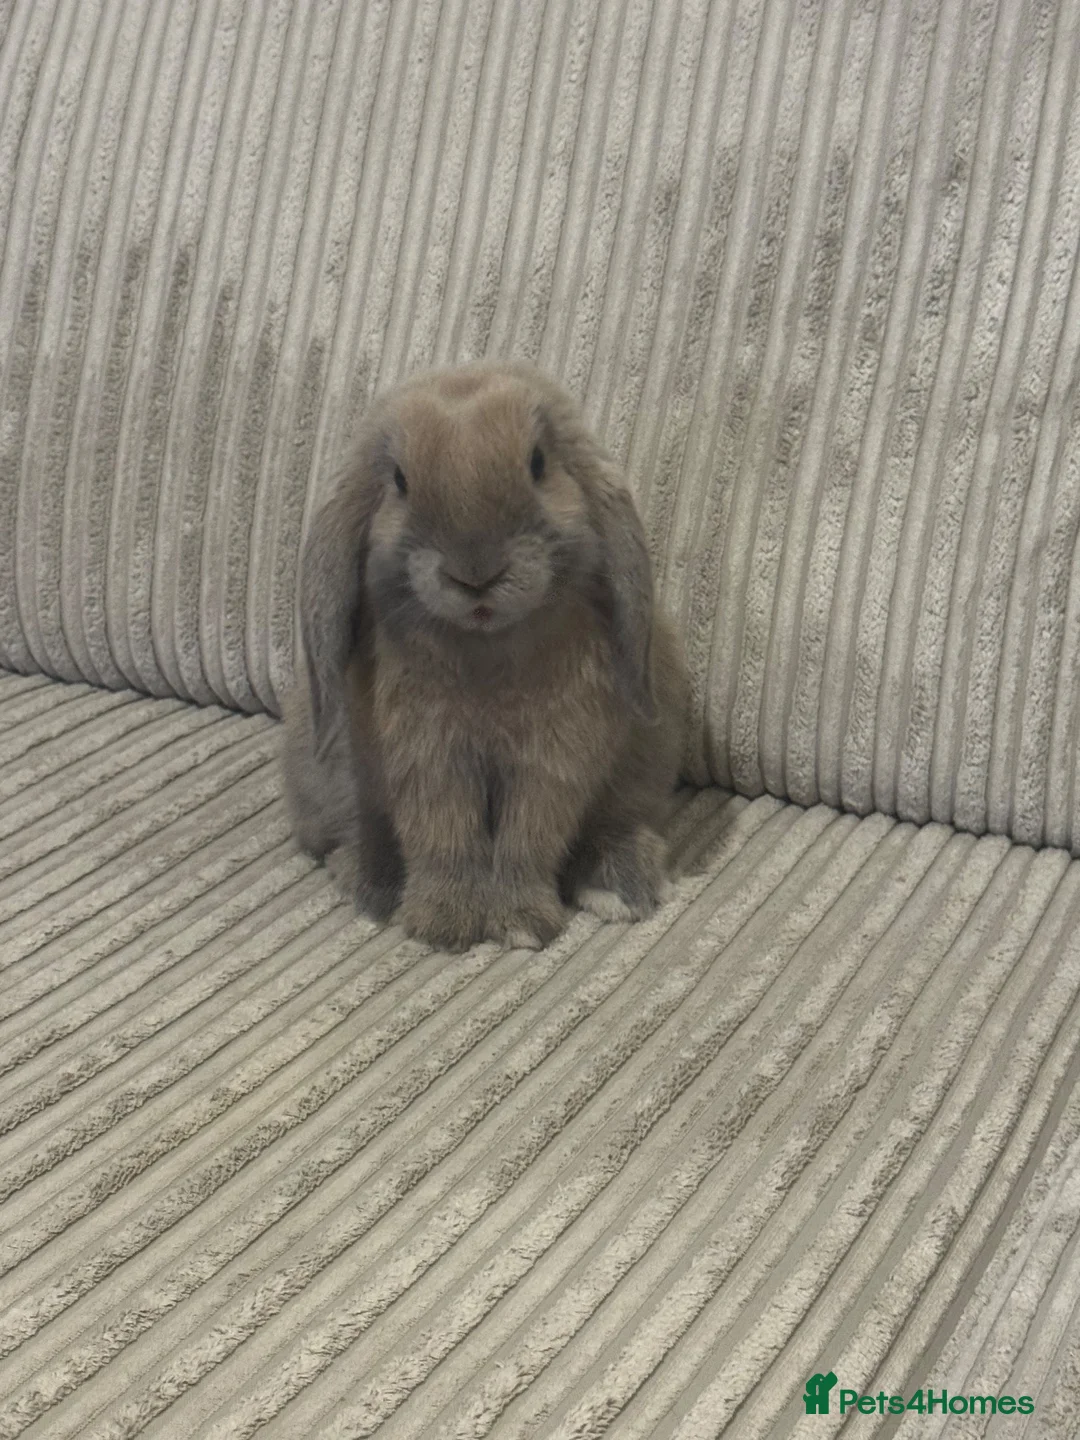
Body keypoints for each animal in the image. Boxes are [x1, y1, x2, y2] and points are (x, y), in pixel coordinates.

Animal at [281, 360, 687, 951]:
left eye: (538, 463)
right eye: (399, 481)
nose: (476, 574)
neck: (486, 645)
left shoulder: (552, 762)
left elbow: (527, 838)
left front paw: (521, 922)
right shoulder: (427, 760)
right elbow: (444, 837)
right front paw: (446, 923)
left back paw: (619, 881)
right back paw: (376, 882)